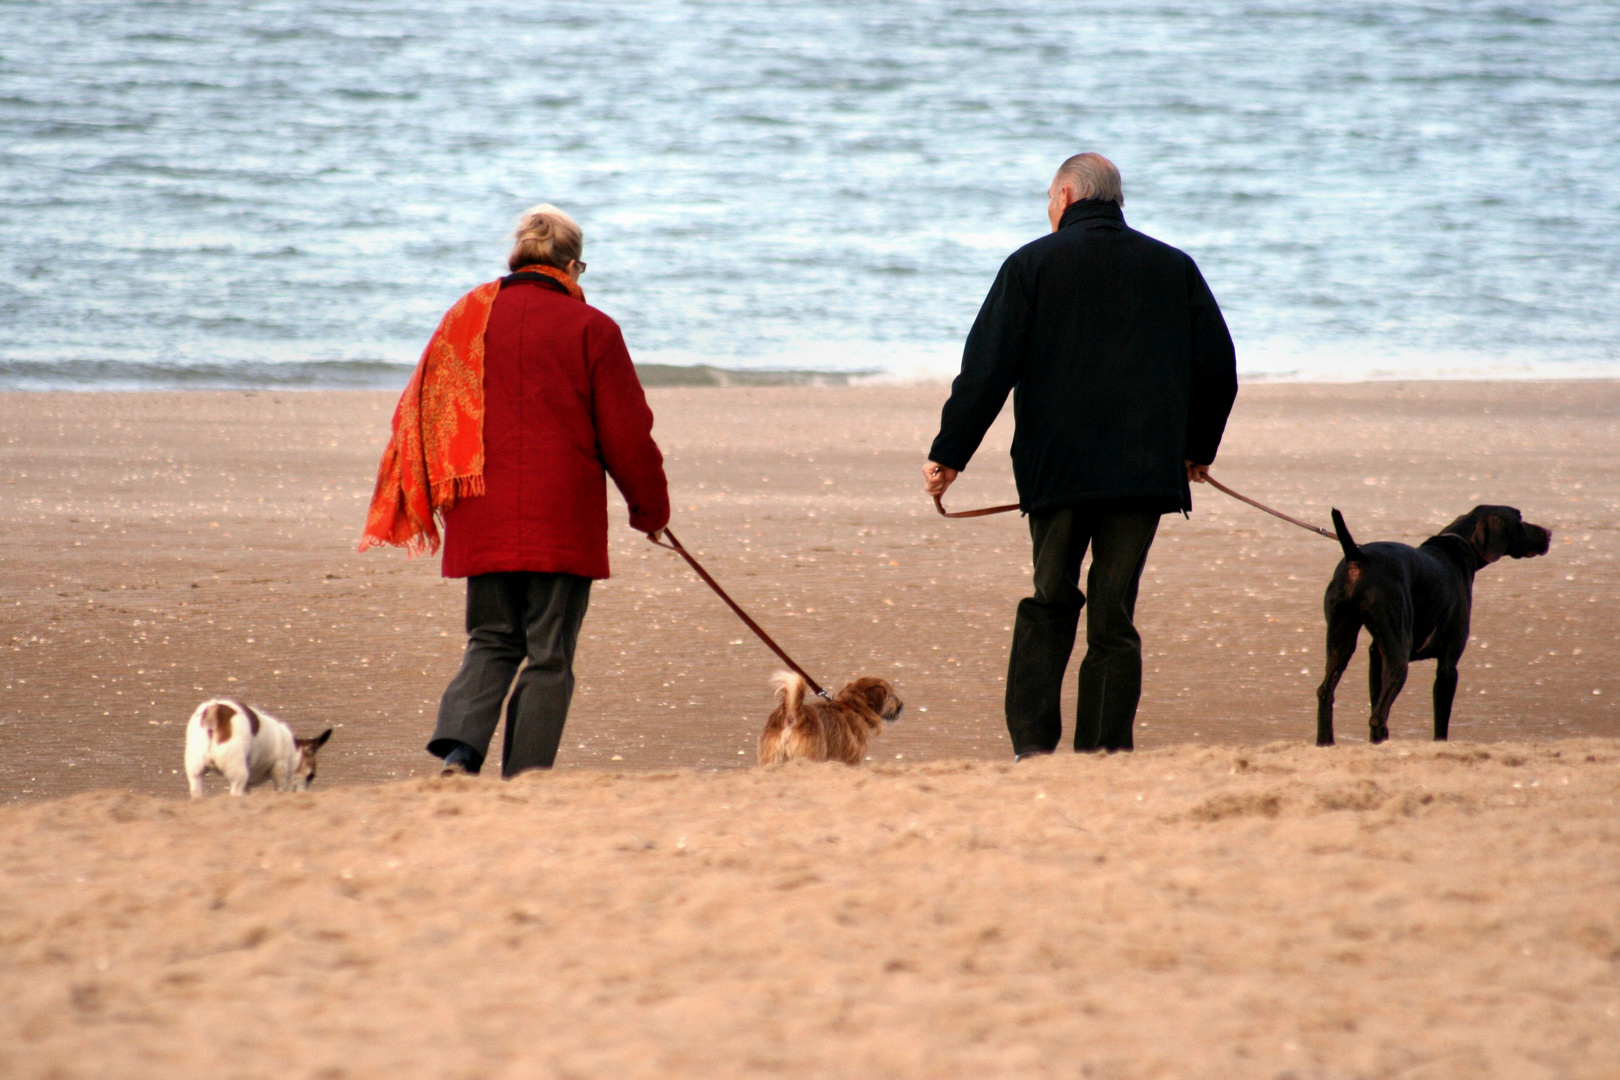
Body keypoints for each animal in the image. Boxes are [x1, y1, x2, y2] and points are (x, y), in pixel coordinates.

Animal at [183, 696, 332, 799]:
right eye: (311, 776)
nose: (304, 794)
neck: (294, 750)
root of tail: (216, 710)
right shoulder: (280, 770)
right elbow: (281, 787)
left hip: (196, 772)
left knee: (196, 791)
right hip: (238, 774)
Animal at [1308, 505, 1548, 744]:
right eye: (1520, 519)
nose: (1548, 533)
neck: (1457, 546)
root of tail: (1358, 557)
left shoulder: (1376, 656)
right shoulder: (1448, 665)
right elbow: (1441, 725)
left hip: (1341, 642)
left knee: (1326, 693)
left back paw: (1326, 742)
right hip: (1398, 657)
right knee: (1378, 716)